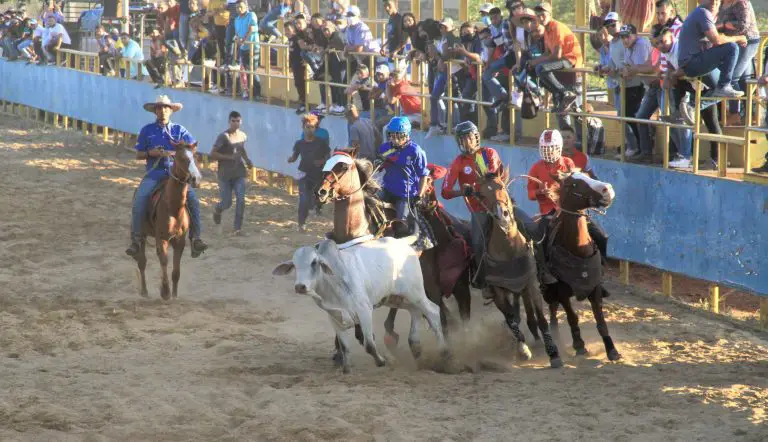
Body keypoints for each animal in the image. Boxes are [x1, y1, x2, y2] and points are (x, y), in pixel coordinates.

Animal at [133, 142, 202, 300]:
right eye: (182, 158)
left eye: (195, 157)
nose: (196, 179)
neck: (173, 208)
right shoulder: (162, 238)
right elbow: (164, 260)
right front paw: (165, 291)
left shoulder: (180, 241)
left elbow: (176, 271)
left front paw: (174, 295)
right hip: (142, 235)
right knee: (142, 262)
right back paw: (144, 291)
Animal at [272, 238, 448, 372]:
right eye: (294, 265)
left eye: (314, 262)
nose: (300, 286)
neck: (333, 285)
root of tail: (406, 246)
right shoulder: (335, 319)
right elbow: (344, 347)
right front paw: (346, 369)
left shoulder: (365, 311)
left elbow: (369, 344)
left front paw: (381, 361)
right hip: (396, 298)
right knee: (415, 311)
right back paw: (416, 347)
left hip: (415, 293)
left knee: (433, 310)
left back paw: (442, 351)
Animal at [474, 164, 564, 368]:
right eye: (481, 194)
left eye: (501, 187)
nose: (503, 216)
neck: (509, 248)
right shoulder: (498, 291)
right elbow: (511, 320)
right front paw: (522, 349)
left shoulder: (531, 284)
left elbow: (541, 319)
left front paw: (553, 353)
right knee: (513, 317)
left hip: (523, 288)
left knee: (530, 316)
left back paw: (538, 341)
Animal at [536, 171, 620, 360]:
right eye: (571, 184)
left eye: (588, 175)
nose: (607, 189)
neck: (577, 250)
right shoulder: (561, 292)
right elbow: (572, 317)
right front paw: (579, 345)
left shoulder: (595, 288)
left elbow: (600, 320)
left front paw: (612, 349)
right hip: (549, 290)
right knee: (553, 311)